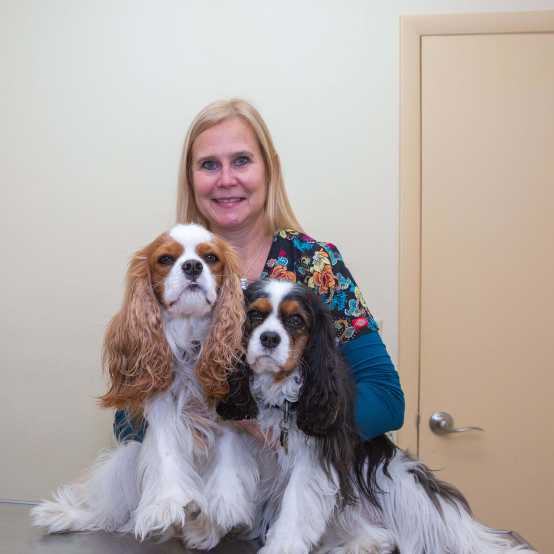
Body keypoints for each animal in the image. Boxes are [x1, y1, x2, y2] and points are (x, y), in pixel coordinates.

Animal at [30, 221, 244, 540]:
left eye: (211, 258)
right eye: (165, 259)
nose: (193, 266)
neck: (189, 328)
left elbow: (229, 449)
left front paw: (225, 502)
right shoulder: (159, 400)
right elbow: (166, 450)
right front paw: (168, 502)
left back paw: (204, 530)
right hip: (128, 458)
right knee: (106, 511)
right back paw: (67, 517)